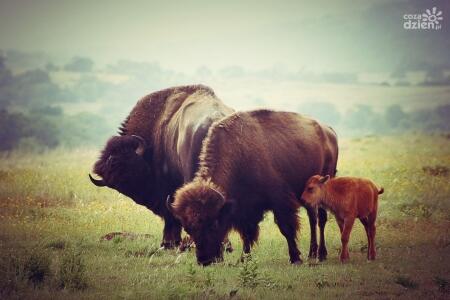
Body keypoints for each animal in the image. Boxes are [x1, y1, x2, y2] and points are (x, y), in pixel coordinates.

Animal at [169, 110, 338, 264]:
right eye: (188, 228)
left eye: (213, 224)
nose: (205, 260)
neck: (239, 155)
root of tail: (329, 131)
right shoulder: (246, 208)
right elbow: (247, 233)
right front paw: (244, 259)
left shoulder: (280, 201)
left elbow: (286, 228)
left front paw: (295, 258)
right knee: (312, 218)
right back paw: (312, 253)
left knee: (320, 219)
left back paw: (321, 254)